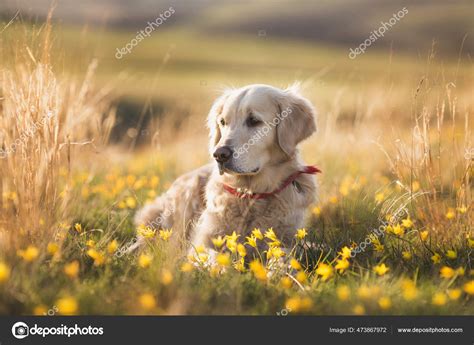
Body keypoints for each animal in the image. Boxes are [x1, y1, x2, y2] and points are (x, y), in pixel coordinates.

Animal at [131, 84, 320, 253]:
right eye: (222, 122)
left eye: (254, 121)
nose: (219, 155)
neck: (251, 195)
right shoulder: (204, 241)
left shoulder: (285, 239)